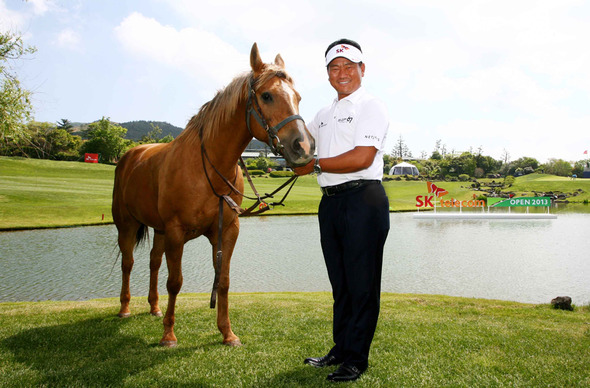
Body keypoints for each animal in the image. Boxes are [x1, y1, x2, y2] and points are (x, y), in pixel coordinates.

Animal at [111, 44, 314, 348]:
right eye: (267, 96)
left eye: (298, 97)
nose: (303, 147)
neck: (208, 168)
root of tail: (130, 155)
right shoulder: (175, 232)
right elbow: (175, 282)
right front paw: (169, 335)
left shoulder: (226, 230)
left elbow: (224, 281)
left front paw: (227, 333)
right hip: (127, 224)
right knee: (128, 263)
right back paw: (125, 308)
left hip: (158, 230)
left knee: (153, 262)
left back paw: (154, 307)